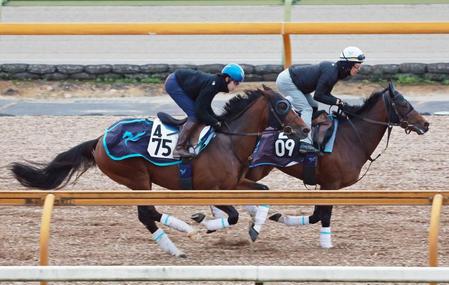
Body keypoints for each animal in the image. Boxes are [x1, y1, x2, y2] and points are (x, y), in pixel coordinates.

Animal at [10, 85, 308, 256]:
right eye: (283, 105)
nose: (305, 129)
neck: (229, 140)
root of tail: (99, 139)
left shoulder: (235, 183)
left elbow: (263, 191)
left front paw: (255, 226)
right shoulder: (210, 188)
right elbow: (232, 215)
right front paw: (206, 224)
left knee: (148, 214)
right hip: (137, 178)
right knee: (146, 213)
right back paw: (182, 239)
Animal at [245, 82, 430, 246]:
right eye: (403, 103)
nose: (425, 124)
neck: (352, 137)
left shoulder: (324, 185)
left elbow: (316, 215)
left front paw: (280, 217)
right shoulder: (331, 184)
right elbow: (324, 215)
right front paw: (326, 243)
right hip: (255, 170)